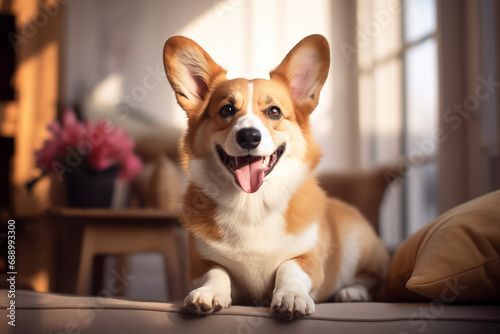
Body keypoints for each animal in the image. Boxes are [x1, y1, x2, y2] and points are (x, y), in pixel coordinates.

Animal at [162, 35, 388, 320]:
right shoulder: (200, 263)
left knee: (371, 281)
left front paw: (291, 297)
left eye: (273, 112)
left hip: (358, 245)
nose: (249, 136)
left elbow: (289, 268)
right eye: (226, 109)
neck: (251, 204)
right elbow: (216, 272)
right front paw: (209, 294)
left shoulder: (310, 260)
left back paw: (351, 293)